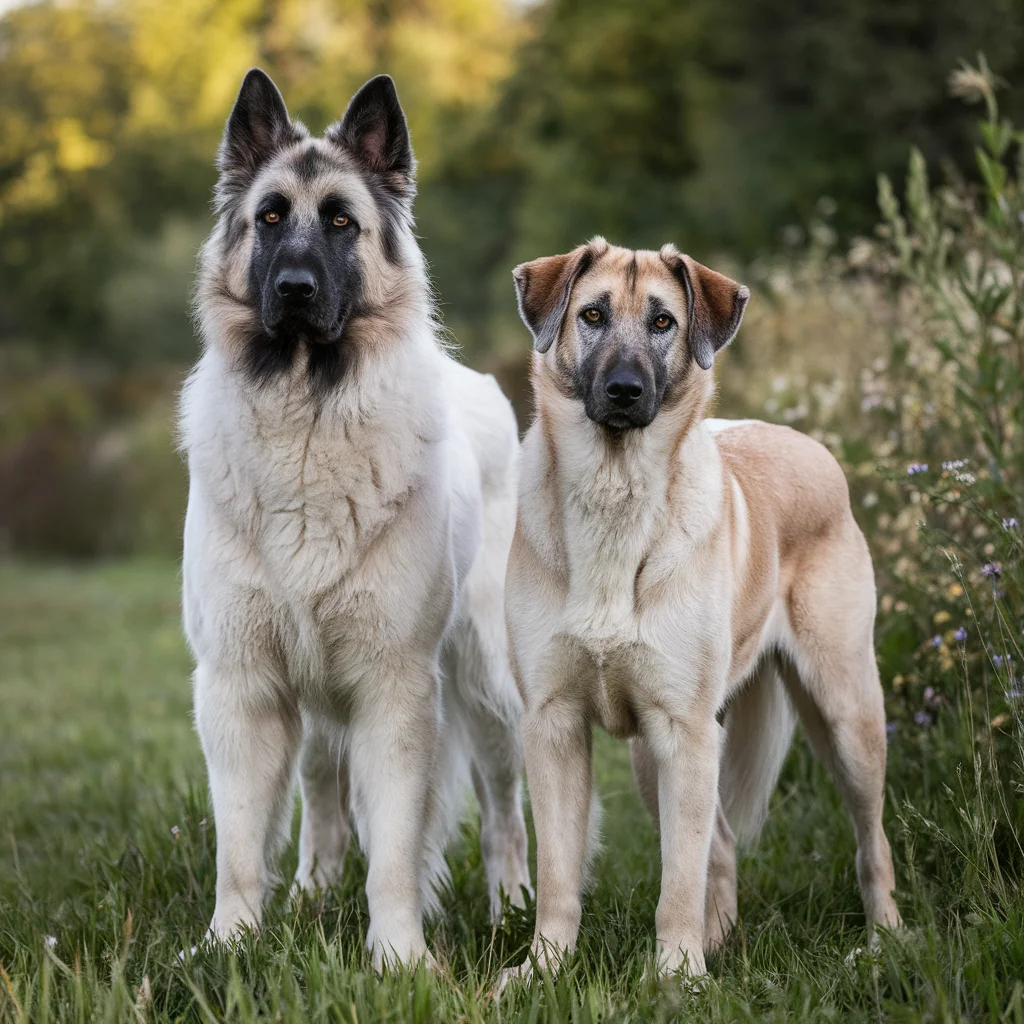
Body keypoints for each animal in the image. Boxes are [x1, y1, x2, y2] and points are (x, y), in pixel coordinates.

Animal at [501, 235, 897, 978]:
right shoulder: (555, 724)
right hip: (653, 760)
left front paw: (676, 978)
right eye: (592, 314)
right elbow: (559, 873)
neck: (615, 490)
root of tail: (805, 443)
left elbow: (677, 880)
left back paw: (883, 941)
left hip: (845, 713)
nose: (625, 391)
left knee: (870, 838)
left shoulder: (682, 731)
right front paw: (544, 969)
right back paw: (721, 941)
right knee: (722, 843)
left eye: (664, 322)